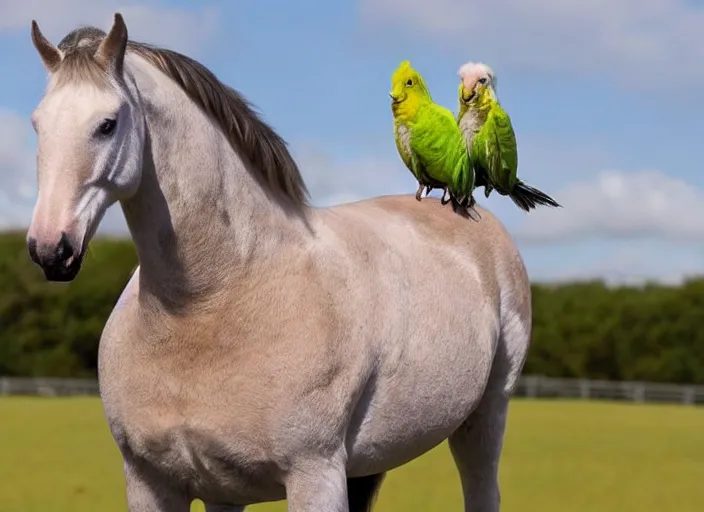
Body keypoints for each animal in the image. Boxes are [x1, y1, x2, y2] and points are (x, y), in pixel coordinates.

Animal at [26, 13, 532, 512]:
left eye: (107, 124)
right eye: (37, 125)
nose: (51, 249)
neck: (211, 304)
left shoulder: (315, 475)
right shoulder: (161, 485)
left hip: (485, 418)